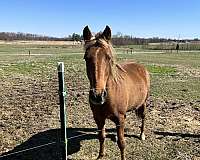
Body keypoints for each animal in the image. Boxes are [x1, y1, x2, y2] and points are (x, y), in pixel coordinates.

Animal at [83, 25, 150, 159]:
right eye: (86, 58)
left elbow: (122, 144)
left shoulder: (119, 119)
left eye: (108, 57)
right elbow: (101, 137)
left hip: (144, 103)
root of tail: (141, 67)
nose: (97, 96)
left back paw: (142, 135)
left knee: (144, 117)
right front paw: (101, 155)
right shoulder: (98, 119)